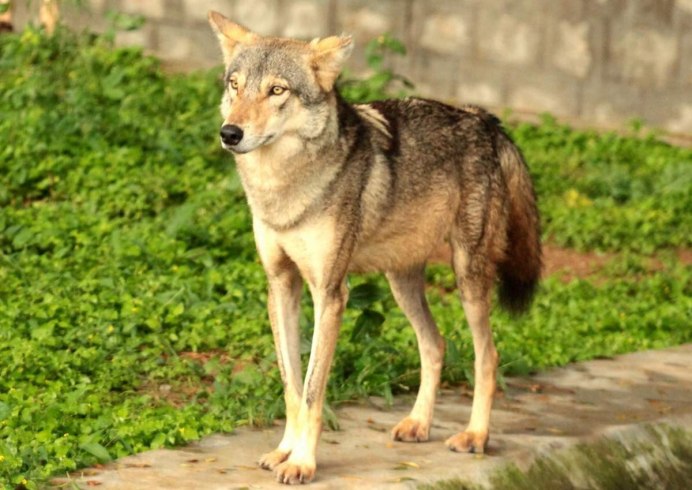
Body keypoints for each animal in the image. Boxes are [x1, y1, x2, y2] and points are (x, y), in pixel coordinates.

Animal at [208, 11, 541, 485]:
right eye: (235, 85)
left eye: (277, 90)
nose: (230, 133)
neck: (284, 189)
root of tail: (483, 119)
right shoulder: (281, 286)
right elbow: (291, 385)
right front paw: (284, 451)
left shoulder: (330, 294)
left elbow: (313, 391)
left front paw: (303, 462)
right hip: (401, 282)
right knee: (435, 345)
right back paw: (418, 423)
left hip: (468, 277)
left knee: (488, 356)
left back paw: (475, 435)